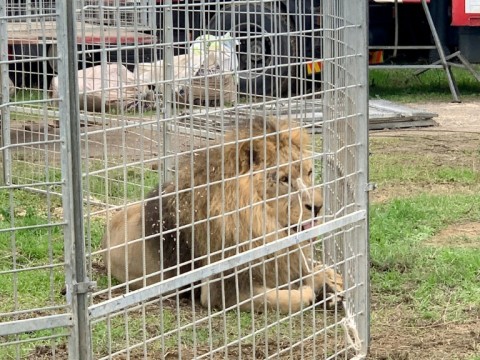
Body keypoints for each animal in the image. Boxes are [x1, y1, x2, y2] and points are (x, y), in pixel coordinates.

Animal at [101, 119, 344, 314]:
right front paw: (314, 293)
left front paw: (331, 284)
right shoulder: (223, 291)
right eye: (283, 179)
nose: (318, 206)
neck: (262, 226)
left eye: (309, 172)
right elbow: (284, 298)